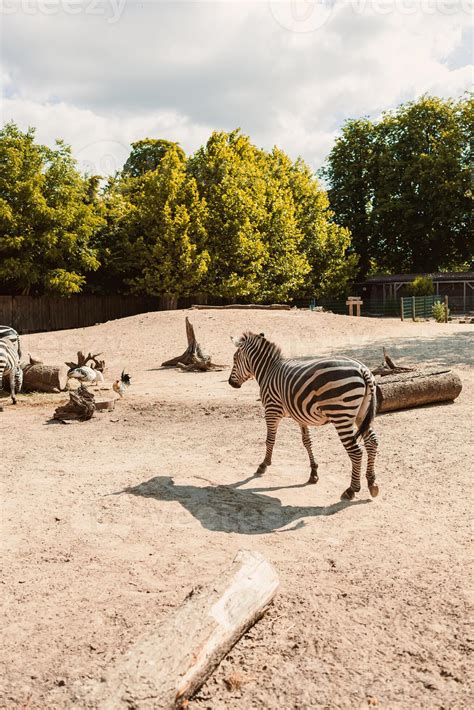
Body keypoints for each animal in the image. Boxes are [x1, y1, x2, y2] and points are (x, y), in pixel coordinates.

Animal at [228, 332, 379, 501]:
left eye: (234, 359)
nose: (230, 383)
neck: (268, 370)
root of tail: (362, 369)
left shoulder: (271, 409)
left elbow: (270, 439)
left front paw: (264, 464)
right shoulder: (300, 415)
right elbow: (307, 442)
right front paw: (313, 473)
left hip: (341, 415)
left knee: (356, 451)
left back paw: (352, 489)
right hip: (361, 414)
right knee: (372, 442)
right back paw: (372, 482)